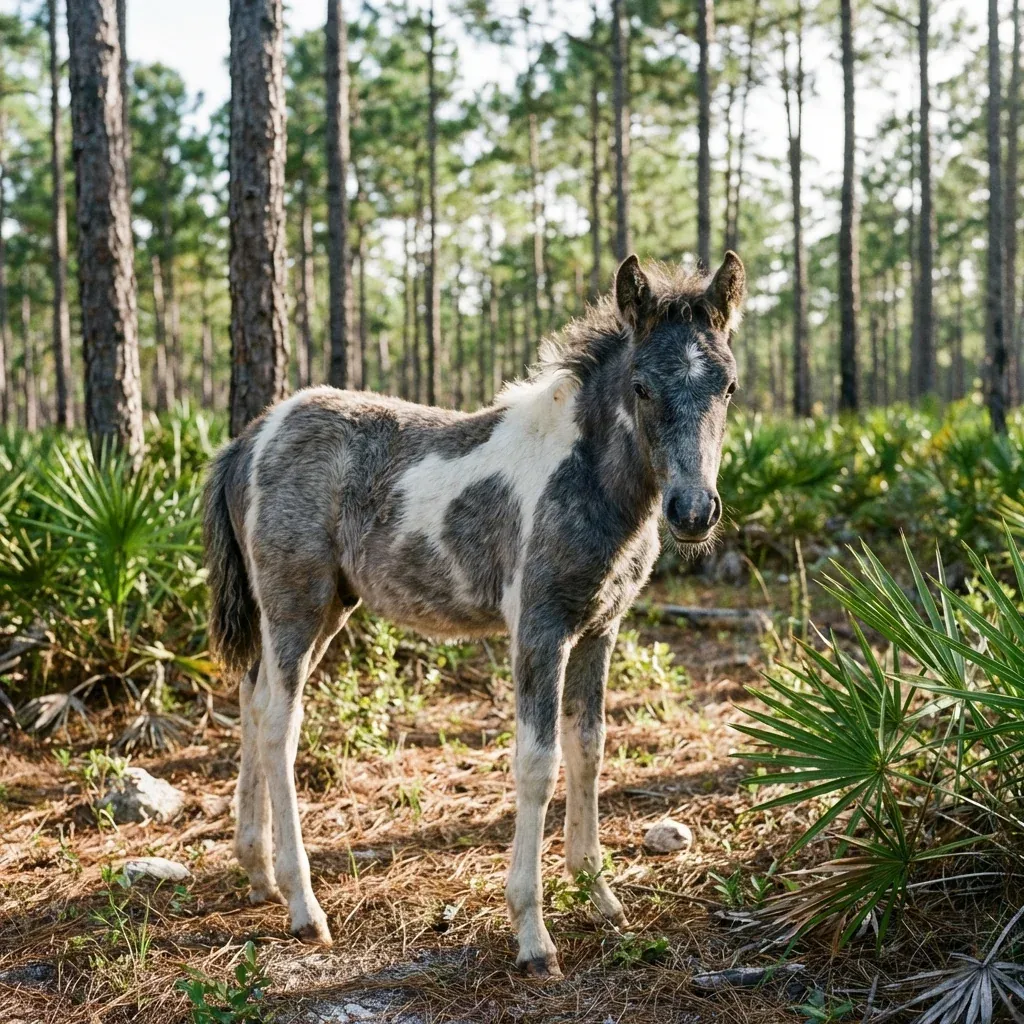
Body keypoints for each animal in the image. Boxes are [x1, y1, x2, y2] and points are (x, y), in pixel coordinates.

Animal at [202, 251, 745, 979]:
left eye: (729, 386)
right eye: (641, 386)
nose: (693, 512)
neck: (587, 480)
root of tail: (250, 438)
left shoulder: (599, 629)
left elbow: (590, 747)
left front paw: (599, 894)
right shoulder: (539, 629)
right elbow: (538, 763)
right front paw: (533, 935)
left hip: (319, 611)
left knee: (251, 700)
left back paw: (257, 871)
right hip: (296, 605)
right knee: (278, 726)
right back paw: (303, 905)